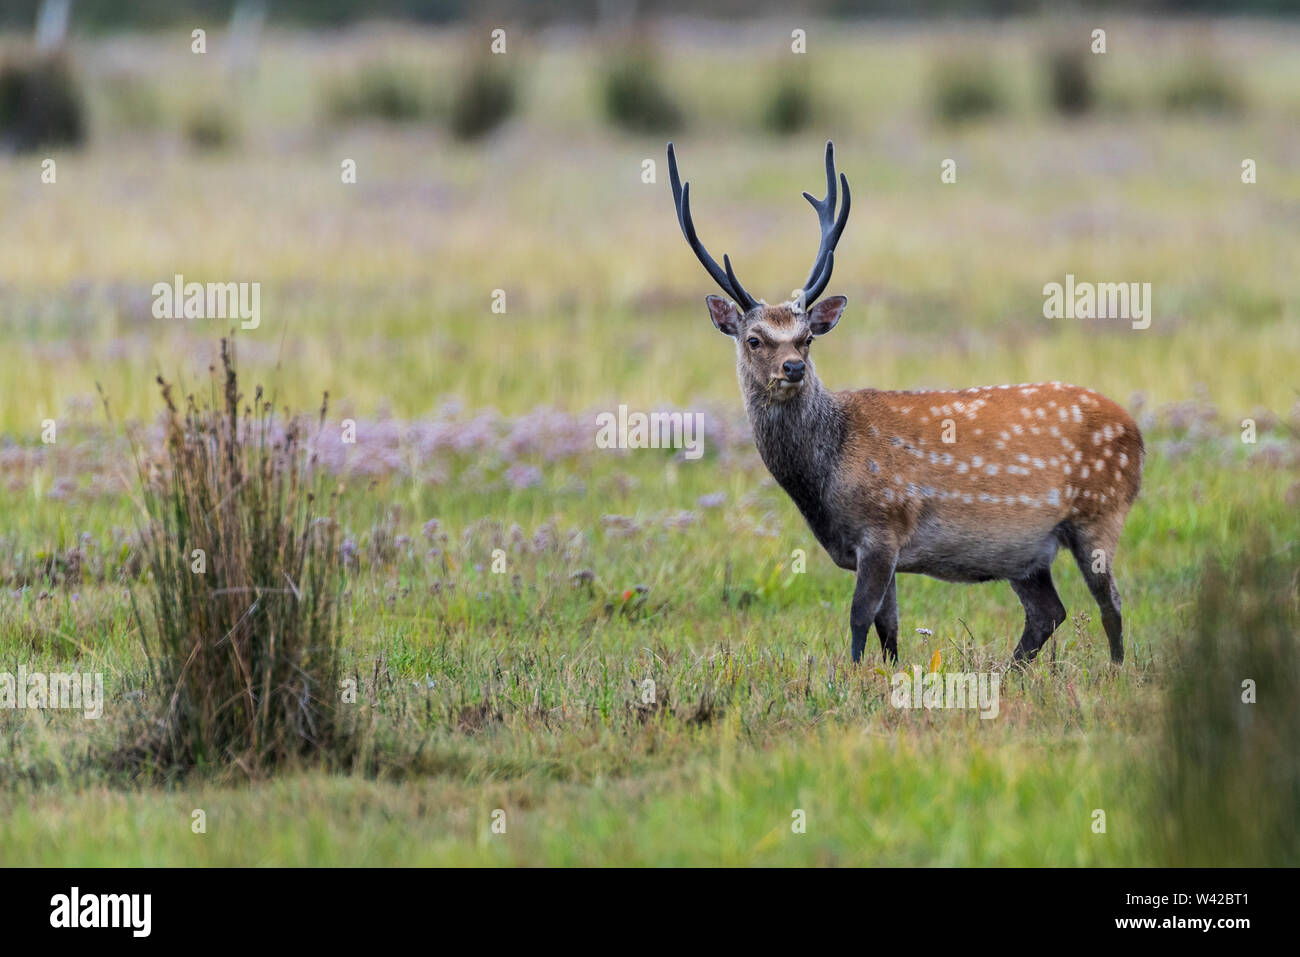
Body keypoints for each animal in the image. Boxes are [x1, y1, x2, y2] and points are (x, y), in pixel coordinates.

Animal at [666, 141, 1144, 666]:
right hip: (1026, 553)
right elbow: (888, 626)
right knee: (1048, 612)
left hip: (1099, 514)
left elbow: (859, 617)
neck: (825, 478)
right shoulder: (877, 546)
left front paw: (850, 677)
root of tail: (1137, 432)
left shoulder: (882, 524)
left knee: (1111, 604)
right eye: (754, 339)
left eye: (807, 338)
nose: (792, 368)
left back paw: (1115, 670)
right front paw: (888, 674)